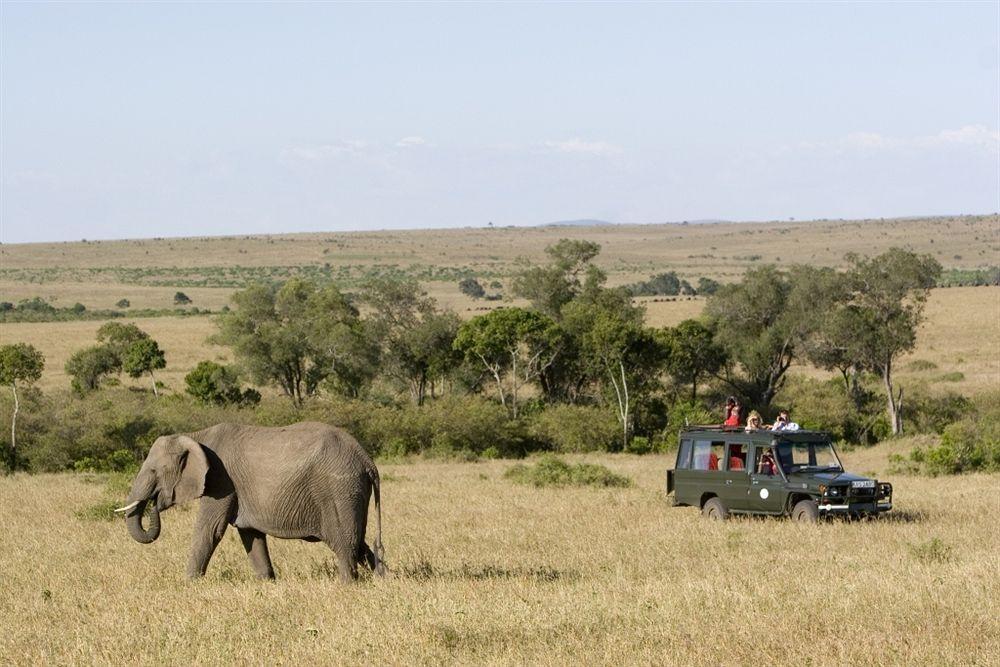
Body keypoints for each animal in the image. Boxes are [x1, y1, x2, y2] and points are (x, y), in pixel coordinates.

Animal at [115, 426, 384, 580]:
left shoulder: (221, 481)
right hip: (351, 491)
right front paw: (266, 583)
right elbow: (250, 535)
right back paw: (382, 578)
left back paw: (347, 584)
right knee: (359, 542)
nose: (155, 502)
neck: (195, 436)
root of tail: (367, 461)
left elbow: (210, 530)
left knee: (345, 542)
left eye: (153, 471)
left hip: (339, 490)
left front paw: (189, 583)